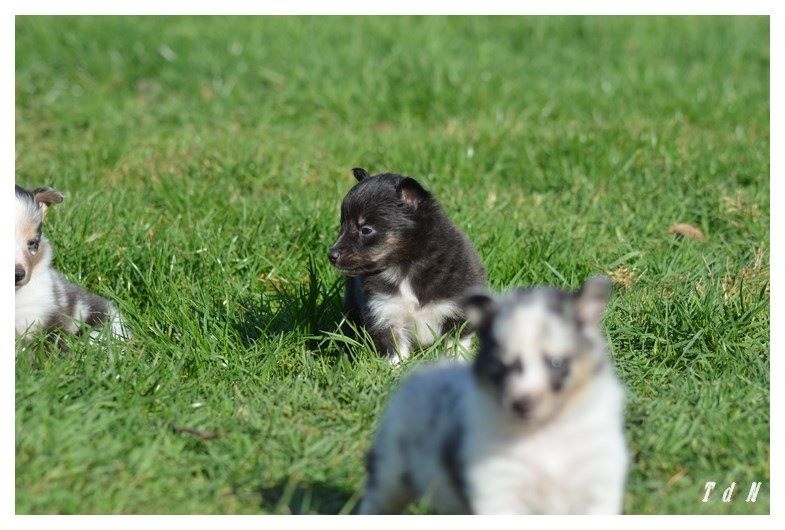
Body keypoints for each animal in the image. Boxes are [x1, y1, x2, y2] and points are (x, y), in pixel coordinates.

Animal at [328, 168, 486, 364]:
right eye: (342, 225)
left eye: (366, 230)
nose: (331, 255)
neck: (404, 266)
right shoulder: (386, 314)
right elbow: (396, 353)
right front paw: (394, 369)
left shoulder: (459, 313)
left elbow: (456, 346)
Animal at [358, 276, 628, 514]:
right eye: (500, 366)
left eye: (556, 363)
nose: (521, 404)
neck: (544, 433)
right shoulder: (497, 488)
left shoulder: (599, 483)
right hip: (390, 470)